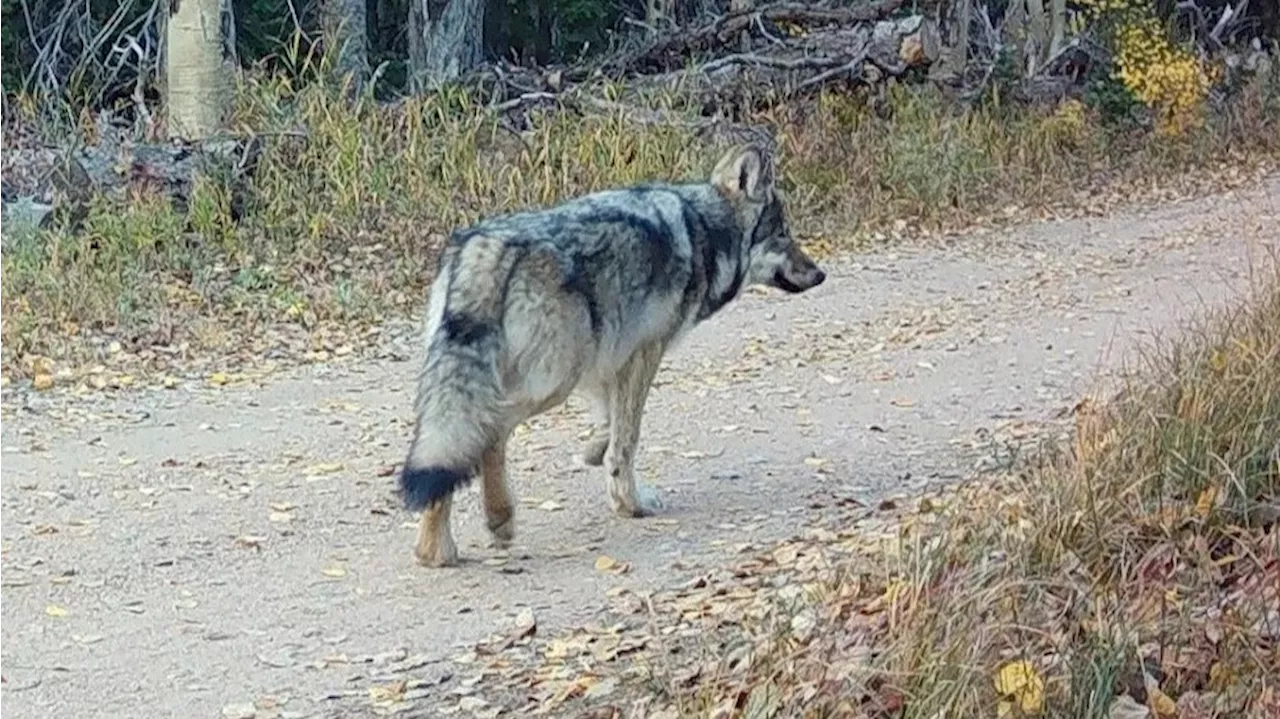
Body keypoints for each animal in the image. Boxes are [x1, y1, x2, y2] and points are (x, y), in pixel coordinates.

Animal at [394, 141, 824, 565]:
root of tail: (484, 247)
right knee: (489, 434)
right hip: (553, 383)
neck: (704, 229)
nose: (821, 274)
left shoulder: (606, 362)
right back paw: (499, 520)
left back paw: (435, 550)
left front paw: (594, 454)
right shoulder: (644, 351)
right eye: (782, 234)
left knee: (450, 454)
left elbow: (609, 424)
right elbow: (627, 438)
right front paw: (632, 503)